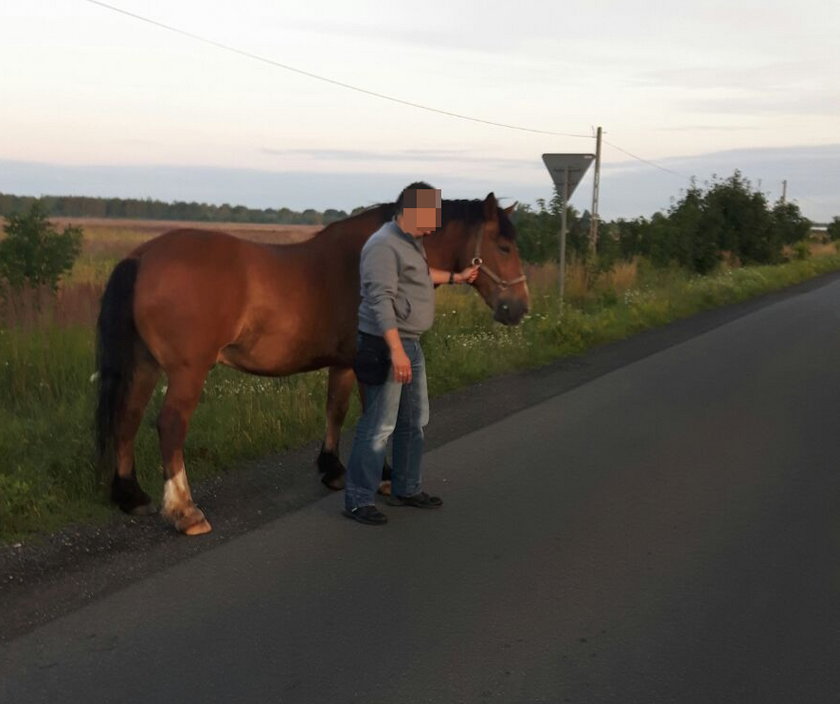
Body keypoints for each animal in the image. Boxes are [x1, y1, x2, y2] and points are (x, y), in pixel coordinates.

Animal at [97, 191, 524, 532]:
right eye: (503, 246)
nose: (518, 308)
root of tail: (143, 256)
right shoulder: (373, 364)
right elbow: (375, 418)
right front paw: (384, 477)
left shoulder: (345, 363)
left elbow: (335, 409)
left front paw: (332, 469)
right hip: (188, 371)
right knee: (169, 425)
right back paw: (185, 511)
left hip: (144, 364)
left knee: (127, 418)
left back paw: (132, 496)